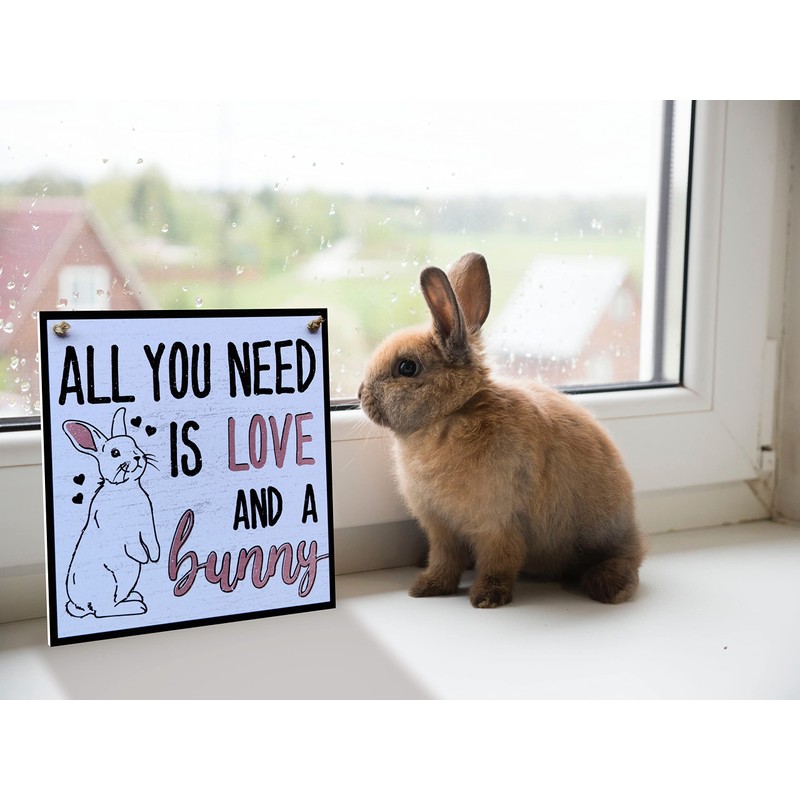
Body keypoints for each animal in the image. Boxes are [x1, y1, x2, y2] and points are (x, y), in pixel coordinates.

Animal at [62, 407, 160, 618]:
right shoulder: (122, 530)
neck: (124, 488)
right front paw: (143, 558)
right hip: (110, 580)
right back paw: (136, 607)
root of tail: (82, 607)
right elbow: (132, 545)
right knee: (103, 610)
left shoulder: (147, 524)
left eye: (135, 444)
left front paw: (154, 556)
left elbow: (152, 540)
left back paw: (135, 598)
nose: (137, 457)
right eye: (115, 453)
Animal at [358, 252, 646, 608]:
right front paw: (427, 588)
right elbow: (444, 560)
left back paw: (610, 586)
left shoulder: (499, 525)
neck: (452, 414)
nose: (360, 394)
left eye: (407, 367)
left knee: (627, 559)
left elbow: (499, 561)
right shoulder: (441, 530)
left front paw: (486, 598)